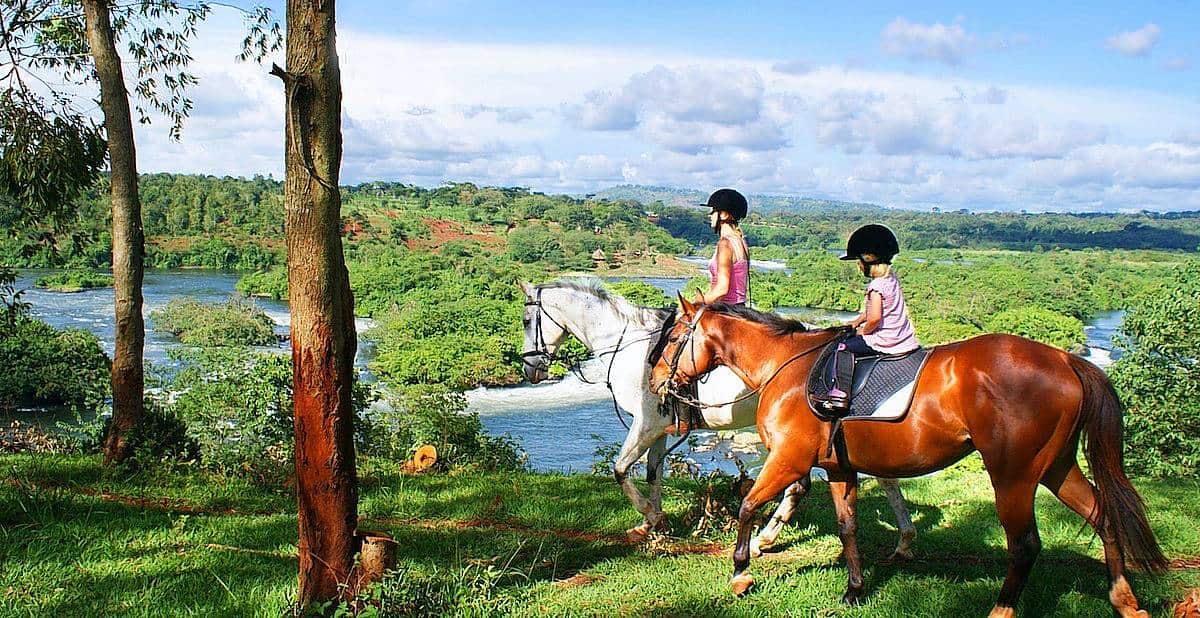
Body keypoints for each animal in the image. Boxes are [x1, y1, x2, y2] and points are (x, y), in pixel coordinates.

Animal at [652, 297, 1166, 614]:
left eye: (675, 337)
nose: (657, 382)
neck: (789, 368)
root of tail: (1066, 359)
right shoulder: (839, 469)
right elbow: (848, 527)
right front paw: (855, 591)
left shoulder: (789, 462)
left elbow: (747, 506)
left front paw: (741, 573)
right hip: (1055, 467)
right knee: (1102, 515)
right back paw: (1125, 601)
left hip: (1013, 474)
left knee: (1024, 545)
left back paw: (1001, 608)